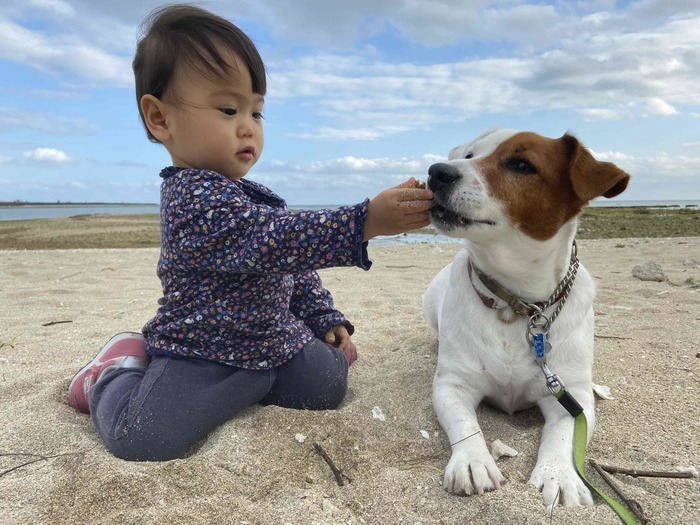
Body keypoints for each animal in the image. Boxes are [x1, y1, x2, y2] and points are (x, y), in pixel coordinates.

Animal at [424, 129, 632, 506]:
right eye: (470, 154)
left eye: (522, 165)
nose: (437, 172)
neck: (515, 304)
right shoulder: (453, 385)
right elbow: (465, 424)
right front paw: (472, 461)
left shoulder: (570, 397)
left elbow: (563, 434)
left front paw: (559, 475)